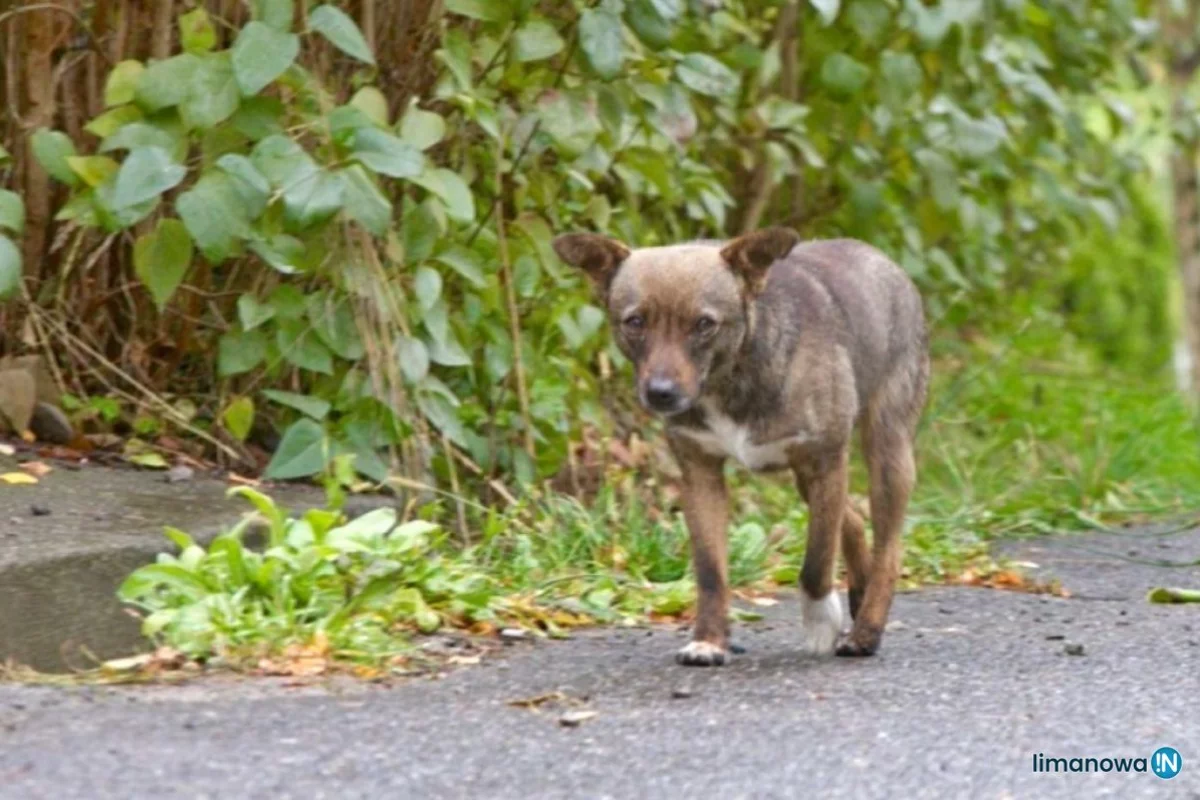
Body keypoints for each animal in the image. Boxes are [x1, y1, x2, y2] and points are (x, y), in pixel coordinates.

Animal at [556, 227, 931, 666]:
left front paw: (820, 618)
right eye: (634, 322)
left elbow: (817, 560)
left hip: (887, 450)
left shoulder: (825, 461)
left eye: (704, 324)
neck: (728, 376)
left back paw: (867, 630)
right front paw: (709, 640)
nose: (661, 393)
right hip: (808, 477)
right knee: (851, 520)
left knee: (889, 548)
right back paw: (860, 590)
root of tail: (878, 257)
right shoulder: (701, 475)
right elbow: (710, 572)